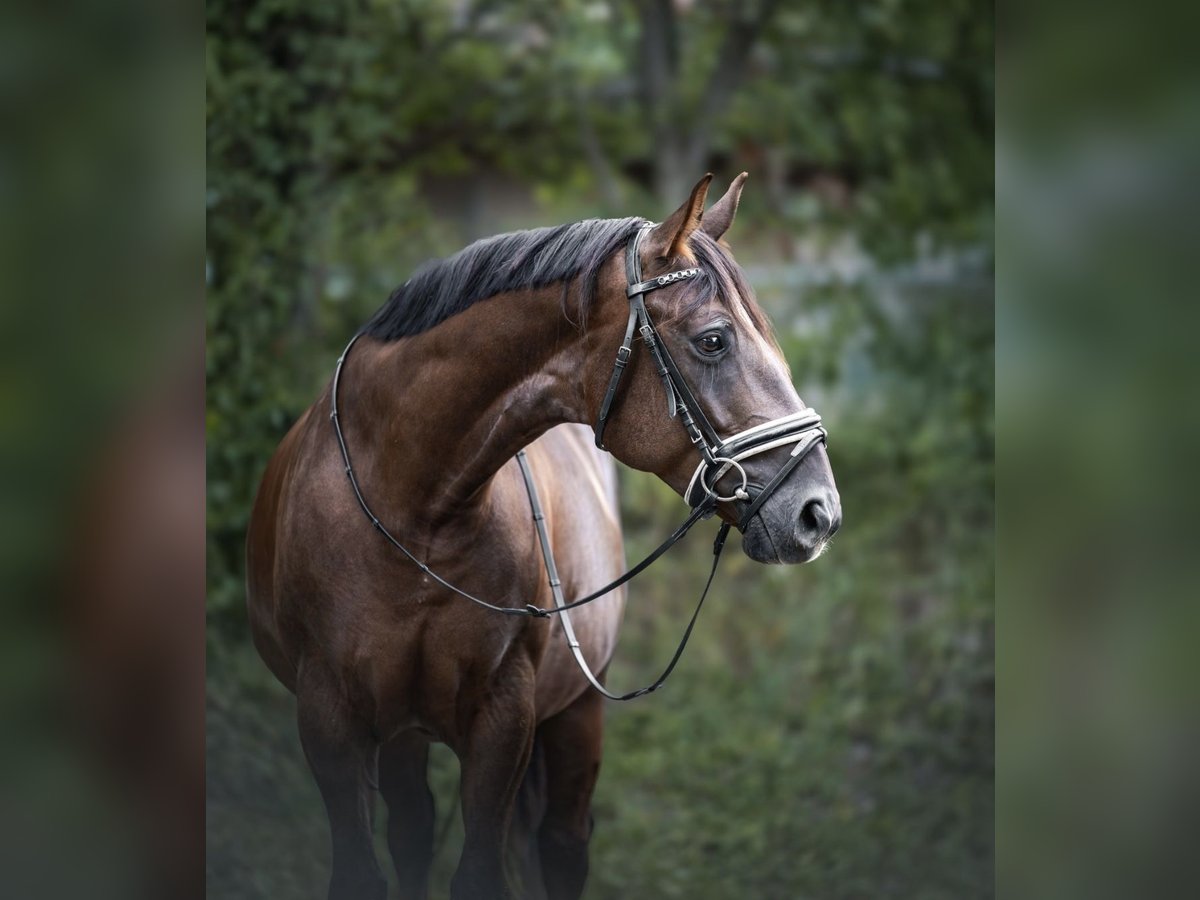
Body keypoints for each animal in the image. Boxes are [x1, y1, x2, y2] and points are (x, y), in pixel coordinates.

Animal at [244, 176, 844, 900]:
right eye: (713, 341)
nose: (818, 511)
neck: (412, 513)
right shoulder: (330, 721)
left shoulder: (504, 720)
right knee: (414, 827)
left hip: (579, 710)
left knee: (561, 842)